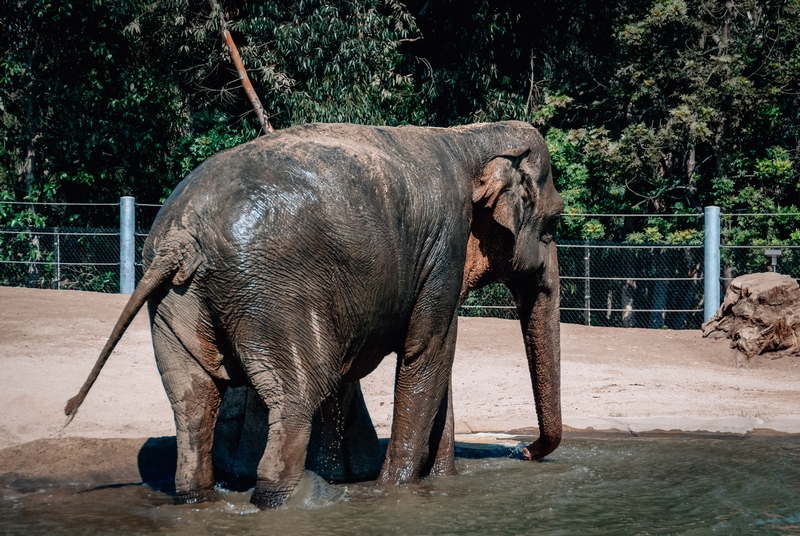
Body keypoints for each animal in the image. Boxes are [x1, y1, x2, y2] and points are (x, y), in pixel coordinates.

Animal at [65, 119, 564, 508]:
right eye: (556, 222)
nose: (523, 451)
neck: (468, 137)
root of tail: (181, 240)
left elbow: (436, 359)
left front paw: (438, 483)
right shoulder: (444, 244)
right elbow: (428, 352)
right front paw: (395, 491)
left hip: (175, 304)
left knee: (192, 403)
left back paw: (198, 500)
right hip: (273, 297)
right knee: (294, 399)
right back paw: (301, 497)